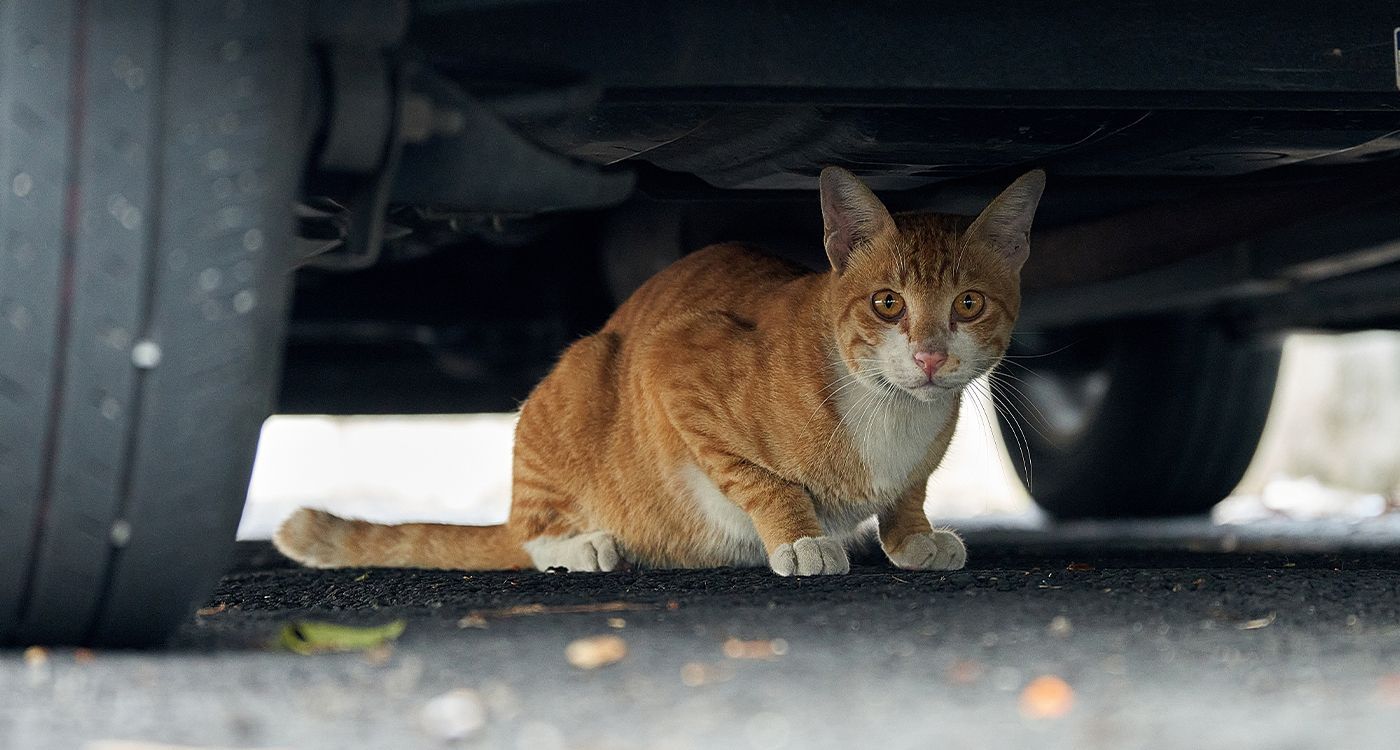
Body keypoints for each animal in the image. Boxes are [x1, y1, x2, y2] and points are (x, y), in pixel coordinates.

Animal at [273, 167, 1047, 576]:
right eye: (889, 303)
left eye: (969, 304)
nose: (930, 355)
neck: (891, 413)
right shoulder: (676, 362)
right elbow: (760, 480)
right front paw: (800, 537)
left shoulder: (918, 461)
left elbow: (910, 491)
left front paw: (911, 536)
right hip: (583, 372)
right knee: (528, 531)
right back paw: (583, 545)